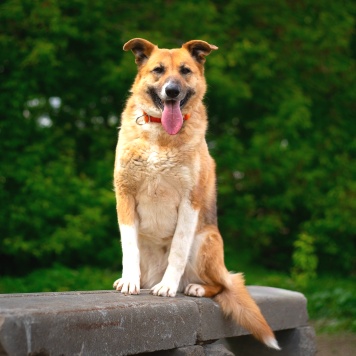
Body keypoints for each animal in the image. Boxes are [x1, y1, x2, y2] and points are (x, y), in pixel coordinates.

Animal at [112, 37, 280, 350]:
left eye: (185, 71)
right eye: (158, 70)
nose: (172, 90)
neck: (161, 135)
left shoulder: (190, 201)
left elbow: (178, 249)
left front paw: (168, 287)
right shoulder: (124, 194)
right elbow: (128, 246)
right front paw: (128, 281)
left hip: (205, 240)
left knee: (222, 285)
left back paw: (193, 287)